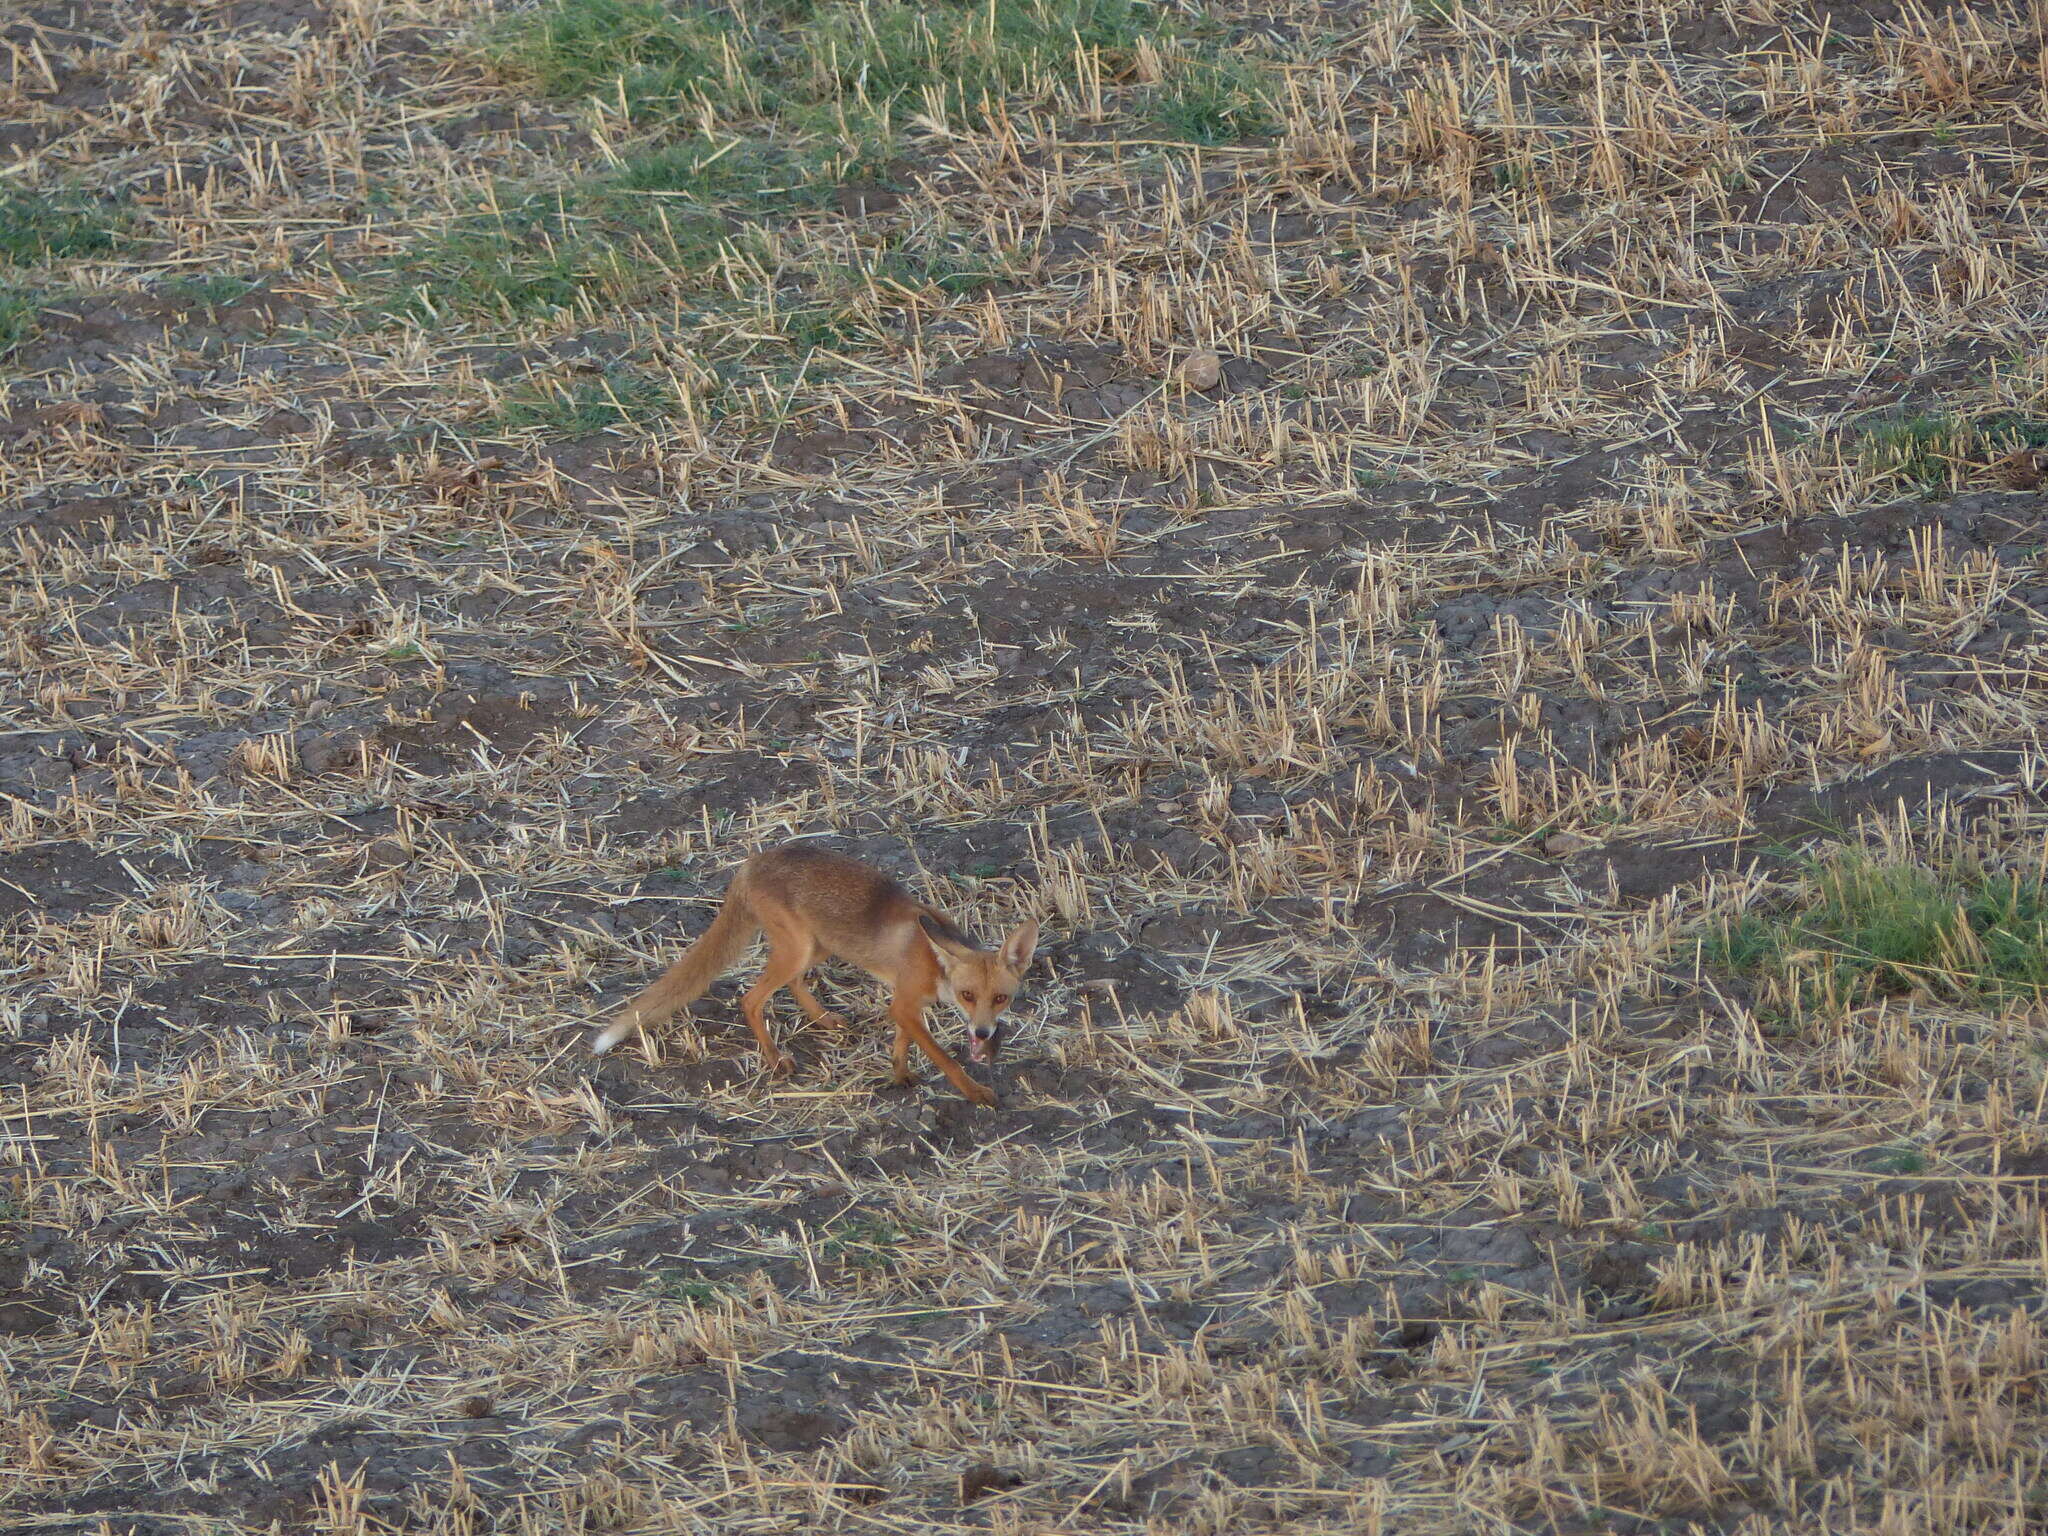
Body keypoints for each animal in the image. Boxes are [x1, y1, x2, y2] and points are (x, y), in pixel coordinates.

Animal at [593, 843, 1040, 1105]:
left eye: (1001, 998)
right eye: (968, 995)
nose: (983, 1032)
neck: (933, 959)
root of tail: (752, 863)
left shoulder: (905, 1004)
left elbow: (901, 1045)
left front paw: (899, 1075)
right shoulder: (906, 1003)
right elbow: (945, 1059)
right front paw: (976, 1092)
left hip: (817, 945)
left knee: (790, 983)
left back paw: (824, 1019)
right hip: (799, 950)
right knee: (750, 999)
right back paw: (776, 1058)